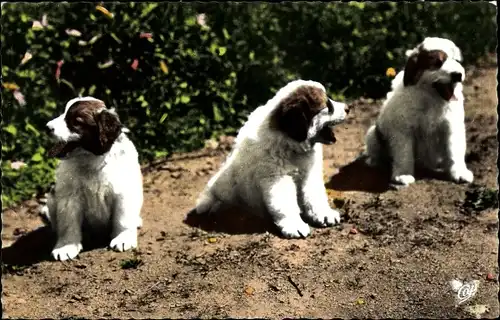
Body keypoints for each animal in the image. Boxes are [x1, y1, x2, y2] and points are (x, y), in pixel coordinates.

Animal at [40, 97, 144, 260]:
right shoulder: (69, 197)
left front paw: (123, 238)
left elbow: (122, 218)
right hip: (51, 198)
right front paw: (66, 246)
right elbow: (68, 223)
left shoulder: (123, 191)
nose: (47, 127)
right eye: (63, 113)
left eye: (76, 121)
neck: (91, 158)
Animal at [193, 80, 350, 238]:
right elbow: (285, 203)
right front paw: (294, 224)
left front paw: (324, 213)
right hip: (218, 189)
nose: (348, 108)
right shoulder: (277, 178)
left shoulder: (310, 173)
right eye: (328, 105)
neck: (290, 145)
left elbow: (314, 194)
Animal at [364, 37, 472, 188]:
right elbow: (404, 154)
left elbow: (454, 150)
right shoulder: (402, 130)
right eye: (437, 63)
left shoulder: (452, 126)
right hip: (372, 134)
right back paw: (374, 162)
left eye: (456, 60)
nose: (458, 75)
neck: (431, 97)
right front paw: (403, 175)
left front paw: (460, 172)